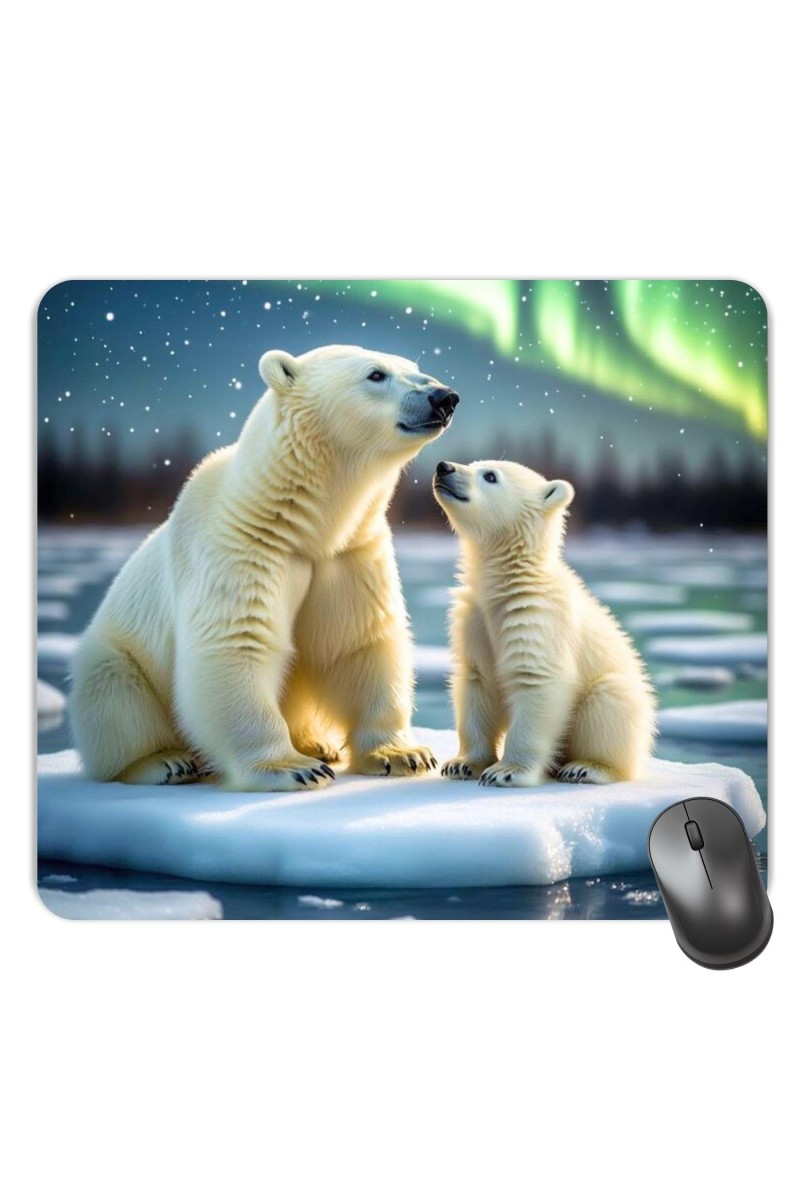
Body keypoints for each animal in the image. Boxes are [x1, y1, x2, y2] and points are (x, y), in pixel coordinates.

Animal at [69, 345, 460, 791]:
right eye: (375, 374)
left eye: (414, 368)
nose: (444, 397)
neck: (301, 521)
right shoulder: (243, 545)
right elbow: (237, 642)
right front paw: (292, 768)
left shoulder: (349, 553)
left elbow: (359, 641)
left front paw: (402, 754)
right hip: (116, 658)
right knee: (116, 700)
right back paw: (166, 762)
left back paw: (317, 743)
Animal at [432, 459, 656, 787]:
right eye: (473, 463)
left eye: (490, 476)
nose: (444, 467)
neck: (510, 582)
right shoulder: (475, 621)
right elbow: (476, 683)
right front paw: (462, 764)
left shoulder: (538, 619)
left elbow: (537, 683)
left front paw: (506, 772)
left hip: (617, 694)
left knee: (608, 704)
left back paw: (586, 767)